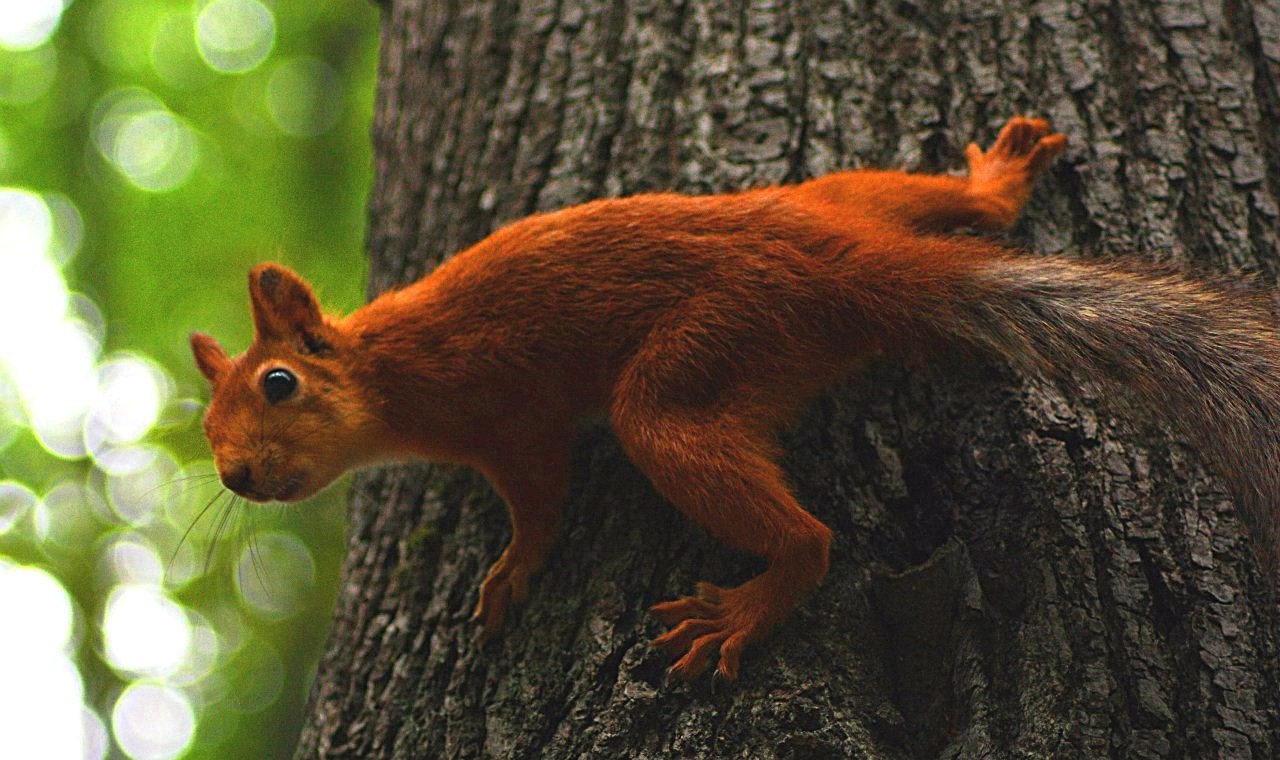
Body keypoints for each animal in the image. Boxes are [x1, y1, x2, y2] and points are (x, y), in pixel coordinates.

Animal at [189, 117, 1280, 680]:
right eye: (205, 428)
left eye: (279, 384)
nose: (235, 477)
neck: (389, 367)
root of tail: (857, 266)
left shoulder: (505, 411)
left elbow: (539, 499)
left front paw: (511, 568)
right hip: (843, 198)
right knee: (943, 202)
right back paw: (993, 181)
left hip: (706, 358)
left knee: (797, 528)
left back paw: (753, 604)